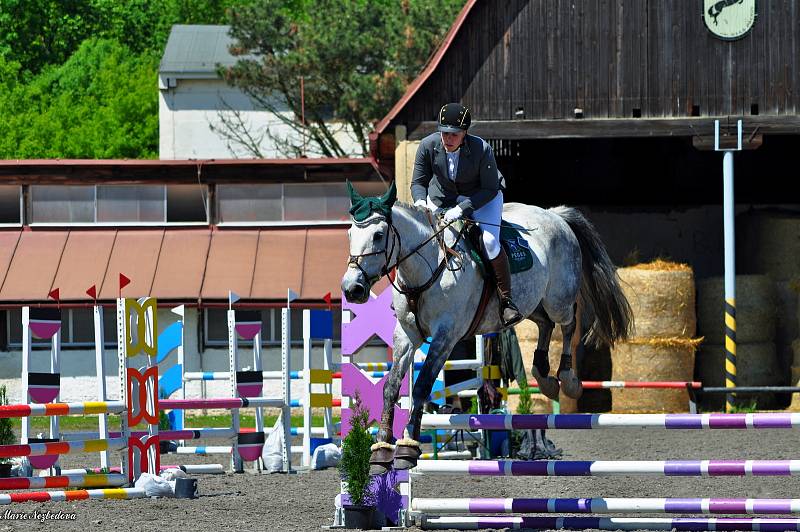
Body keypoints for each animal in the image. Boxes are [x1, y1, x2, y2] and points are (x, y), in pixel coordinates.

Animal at [342, 183, 632, 474]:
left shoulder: (446, 336)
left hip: (557, 299)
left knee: (568, 323)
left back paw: (567, 379)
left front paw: (407, 448)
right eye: (350, 234)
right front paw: (381, 450)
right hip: (530, 303)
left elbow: (422, 387)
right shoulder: (406, 336)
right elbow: (390, 388)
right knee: (545, 324)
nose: (351, 289)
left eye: (378, 235)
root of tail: (555, 215)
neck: (428, 266)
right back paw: (544, 375)